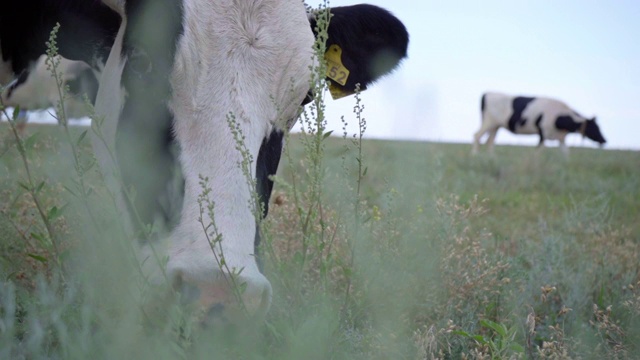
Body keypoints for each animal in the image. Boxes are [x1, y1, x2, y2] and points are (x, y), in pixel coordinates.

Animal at [472, 91, 608, 155]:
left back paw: (491, 158)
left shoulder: (561, 137)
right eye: (595, 127)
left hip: (496, 126)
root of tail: (487, 93)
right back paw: (475, 155)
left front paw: (566, 165)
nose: (604, 140)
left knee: (490, 141)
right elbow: (539, 150)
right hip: (489, 122)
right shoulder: (543, 132)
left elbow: (566, 152)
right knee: (477, 136)